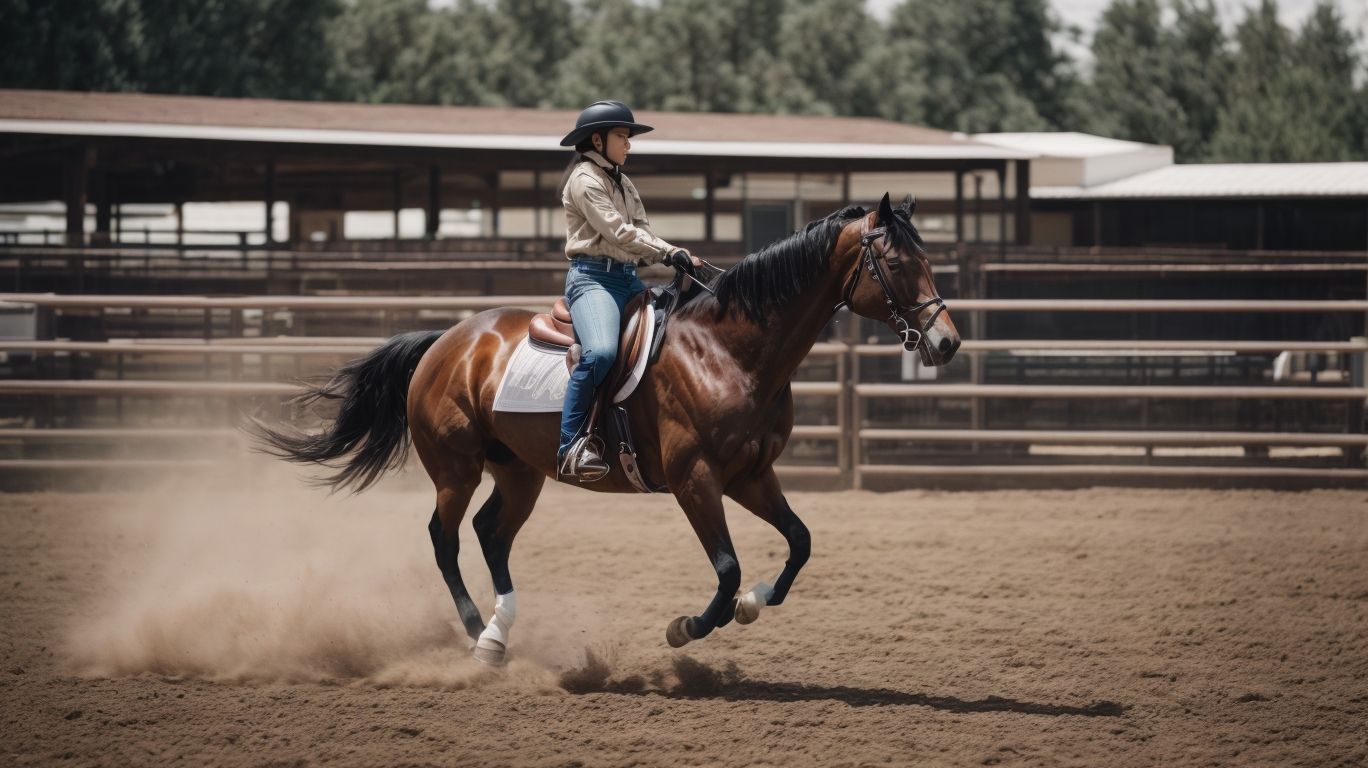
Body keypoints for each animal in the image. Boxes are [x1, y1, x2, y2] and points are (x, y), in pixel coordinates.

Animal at [253, 193, 960, 665]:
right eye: (898, 262)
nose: (948, 341)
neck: (727, 351)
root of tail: (446, 340)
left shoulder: (751, 475)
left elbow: (799, 543)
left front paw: (755, 603)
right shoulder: (695, 480)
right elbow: (727, 568)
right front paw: (685, 628)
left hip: (520, 473)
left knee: (490, 535)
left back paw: (498, 633)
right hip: (454, 468)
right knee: (445, 538)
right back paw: (476, 630)